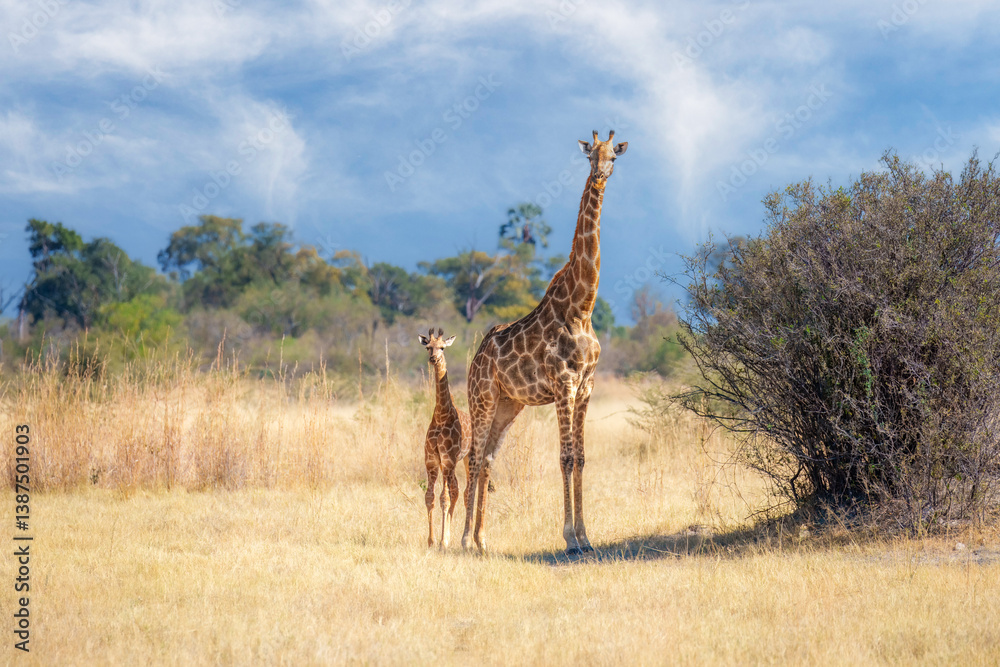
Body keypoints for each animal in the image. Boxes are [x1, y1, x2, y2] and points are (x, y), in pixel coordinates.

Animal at [462, 130, 627, 554]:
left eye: (613, 158)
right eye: (590, 157)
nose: (600, 177)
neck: (582, 306)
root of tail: (475, 358)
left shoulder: (586, 386)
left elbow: (581, 458)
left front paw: (586, 536)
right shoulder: (563, 383)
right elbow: (565, 457)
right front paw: (569, 538)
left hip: (509, 404)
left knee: (487, 459)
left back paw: (482, 539)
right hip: (482, 398)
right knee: (472, 456)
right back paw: (465, 539)